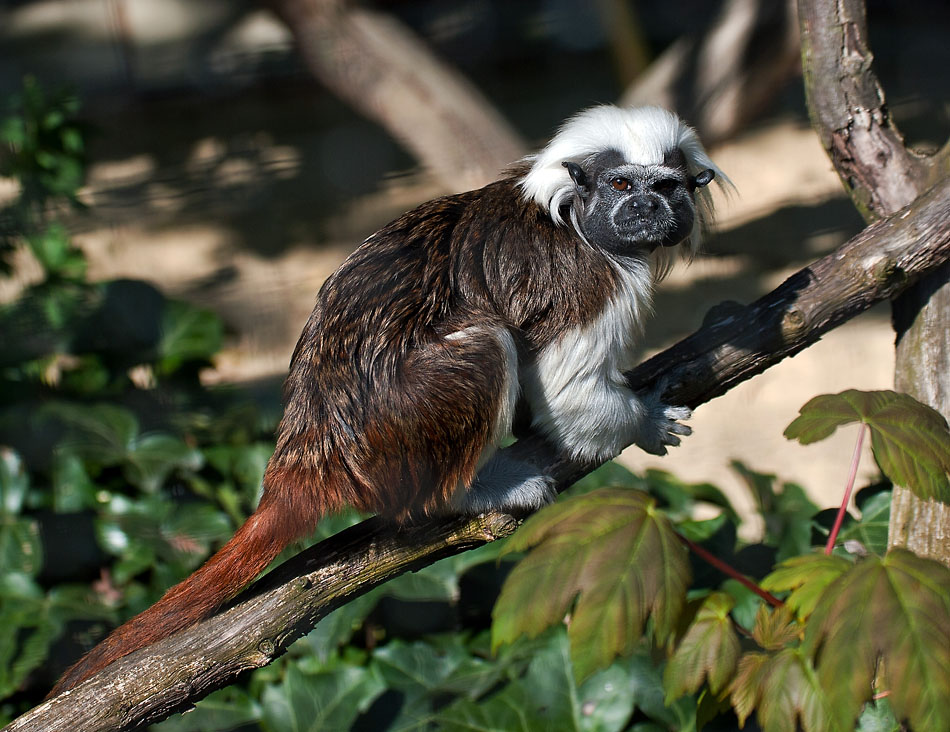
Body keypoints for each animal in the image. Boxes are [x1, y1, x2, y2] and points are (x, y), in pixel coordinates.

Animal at [50, 105, 727, 695]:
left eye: (667, 187)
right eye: (622, 185)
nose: (647, 208)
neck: (571, 214)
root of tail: (307, 455)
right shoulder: (590, 280)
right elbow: (568, 391)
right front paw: (644, 421)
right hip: (400, 428)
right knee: (484, 344)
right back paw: (467, 492)